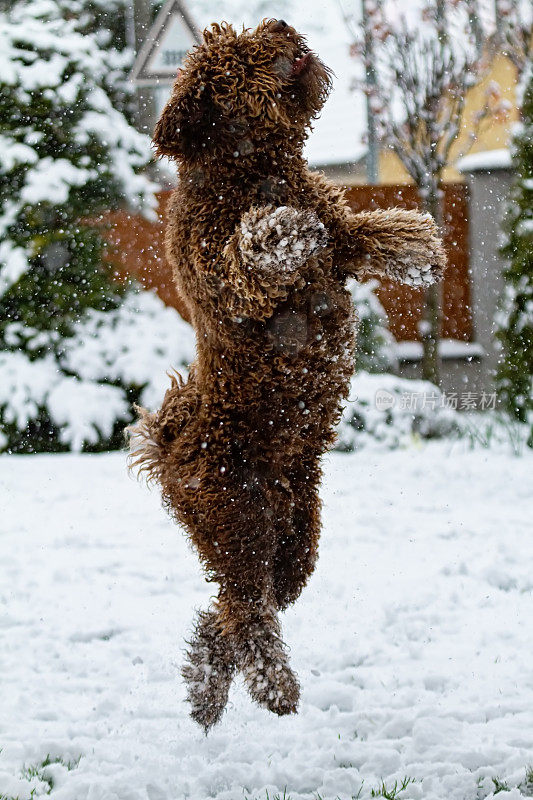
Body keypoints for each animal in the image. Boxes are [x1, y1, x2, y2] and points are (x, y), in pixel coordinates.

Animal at [129, 18, 444, 732]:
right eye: (238, 61)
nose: (283, 27)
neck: (257, 172)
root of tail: (172, 448)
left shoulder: (339, 236)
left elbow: (362, 230)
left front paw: (419, 244)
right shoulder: (224, 276)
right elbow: (254, 252)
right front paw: (280, 230)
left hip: (295, 532)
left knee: (240, 604)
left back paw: (206, 681)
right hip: (236, 515)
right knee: (247, 607)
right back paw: (271, 685)